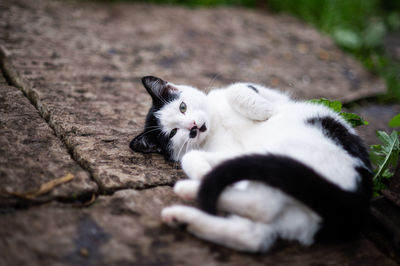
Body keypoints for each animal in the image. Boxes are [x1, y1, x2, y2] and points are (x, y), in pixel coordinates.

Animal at [130, 76, 372, 252]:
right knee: (257, 220)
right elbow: (190, 158)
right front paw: (203, 173)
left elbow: (237, 89)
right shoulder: (230, 154)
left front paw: (267, 111)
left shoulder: (264, 96)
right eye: (172, 132)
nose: (193, 126)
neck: (217, 125)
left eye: (182, 107)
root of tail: (358, 202)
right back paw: (185, 207)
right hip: (279, 162)